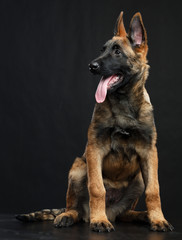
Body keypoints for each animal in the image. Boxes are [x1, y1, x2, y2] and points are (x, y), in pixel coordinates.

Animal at [16, 10, 173, 232]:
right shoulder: (95, 148)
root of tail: (111, 211)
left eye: (117, 52)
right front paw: (99, 220)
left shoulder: (149, 152)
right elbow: (97, 188)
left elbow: (154, 190)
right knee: (74, 207)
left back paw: (142, 216)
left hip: (138, 179)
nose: (91, 66)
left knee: (125, 213)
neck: (123, 102)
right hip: (78, 168)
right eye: (103, 49)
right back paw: (72, 216)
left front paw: (158, 219)